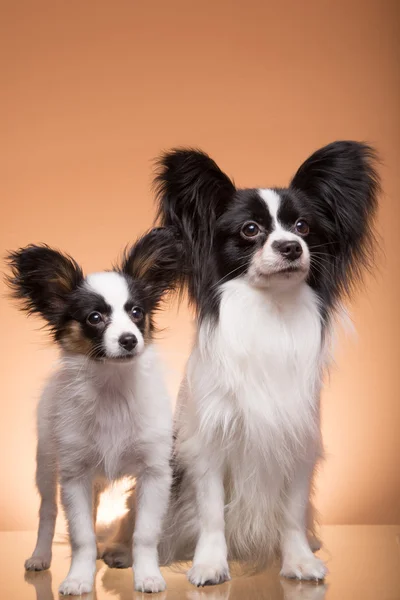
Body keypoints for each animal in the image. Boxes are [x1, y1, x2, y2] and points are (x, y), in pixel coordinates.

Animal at [5, 226, 181, 596]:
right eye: (95, 318)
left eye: (137, 312)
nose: (129, 340)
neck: (113, 389)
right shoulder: (74, 476)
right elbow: (81, 535)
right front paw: (77, 579)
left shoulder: (155, 473)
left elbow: (145, 533)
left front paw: (147, 576)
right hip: (47, 464)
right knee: (47, 512)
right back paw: (40, 557)